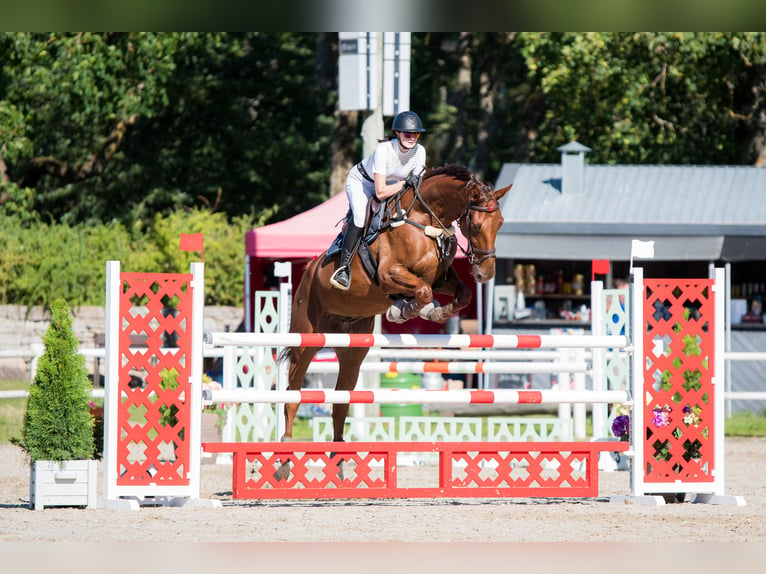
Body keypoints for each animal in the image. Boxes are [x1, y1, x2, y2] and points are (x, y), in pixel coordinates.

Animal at [280, 164, 510, 448]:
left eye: (500, 223)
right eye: (476, 226)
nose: (485, 274)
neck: (425, 219)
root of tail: (309, 270)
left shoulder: (440, 278)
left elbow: (462, 294)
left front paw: (434, 311)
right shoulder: (389, 274)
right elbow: (421, 291)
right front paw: (403, 310)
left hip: (352, 350)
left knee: (341, 400)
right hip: (307, 338)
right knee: (293, 389)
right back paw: (286, 446)